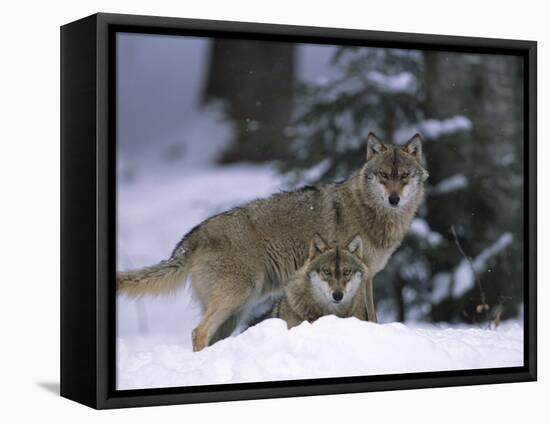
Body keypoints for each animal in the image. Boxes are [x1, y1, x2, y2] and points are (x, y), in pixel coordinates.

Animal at [118, 132, 432, 352]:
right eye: (384, 176)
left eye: (404, 176)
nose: (394, 199)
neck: (369, 212)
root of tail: (192, 236)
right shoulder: (362, 277)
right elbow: (370, 317)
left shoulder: (366, 277)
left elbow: (370, 316)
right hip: (236, 297)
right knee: (198, 332)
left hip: (236, 311)